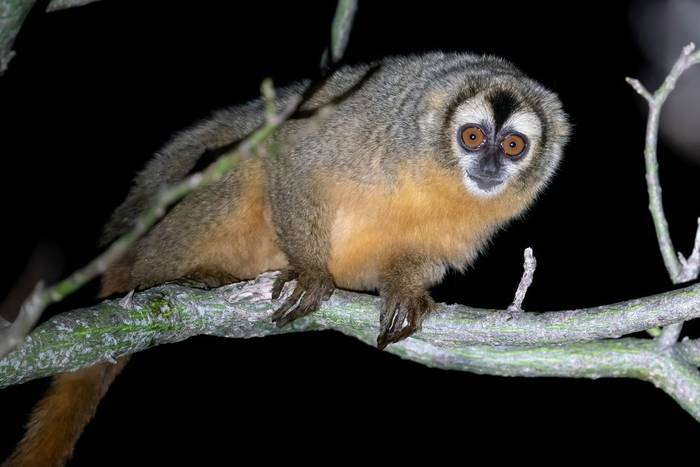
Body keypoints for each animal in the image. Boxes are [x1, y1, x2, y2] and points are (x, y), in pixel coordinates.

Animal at [3, 51, 569, 466]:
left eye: (513, 145)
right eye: (472, 137)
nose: (491, 165)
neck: (439, 173)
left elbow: (425, 256)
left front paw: (405, 292)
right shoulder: (371, 124)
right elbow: (289, 150)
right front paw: (313, 273)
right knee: (243, 163)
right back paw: (189, 277)